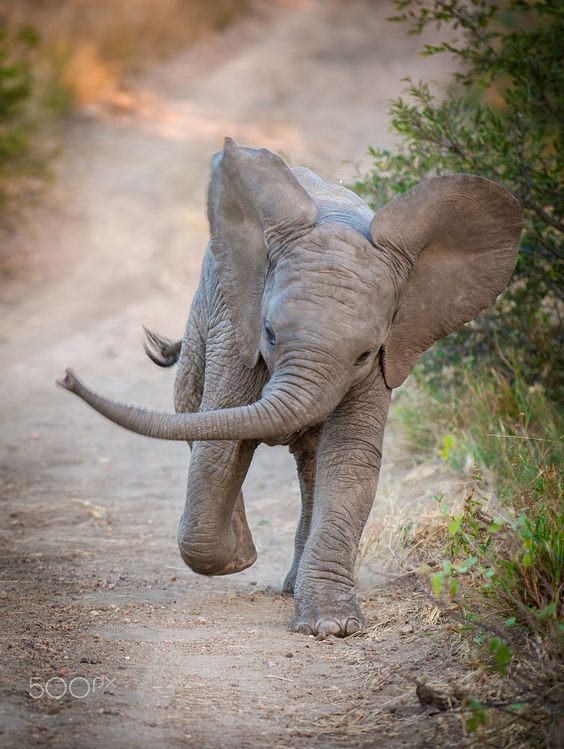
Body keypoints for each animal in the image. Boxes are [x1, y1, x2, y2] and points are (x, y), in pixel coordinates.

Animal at [56, 137, 520, 636]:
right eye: (271, 334)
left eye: (363, 354)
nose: (66, 376)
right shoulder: (236, 328)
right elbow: (220, 443)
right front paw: (242, 556)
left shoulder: (388, 353)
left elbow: (350, 458)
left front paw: (331, 626)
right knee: (194, 414)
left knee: (311, 462)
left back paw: (294, 585)